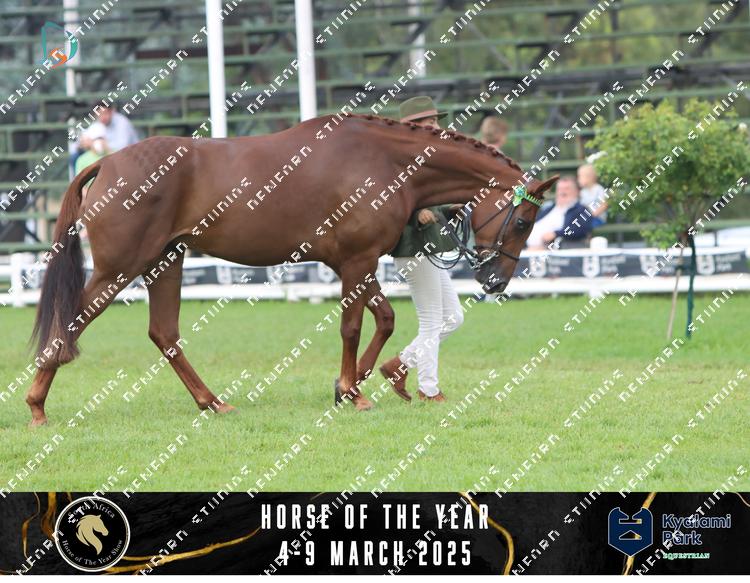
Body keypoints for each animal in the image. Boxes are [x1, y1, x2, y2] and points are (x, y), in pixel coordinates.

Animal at [26, 113, 557, 425]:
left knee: (164, 334)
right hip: (120, 268)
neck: (382, 162)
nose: (496, 281)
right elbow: (352, 326)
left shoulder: (356, 263)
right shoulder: (357, 261)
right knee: (72, 320)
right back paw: (36, 405)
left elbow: (384, 320)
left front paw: (351, 386)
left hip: (166, 262)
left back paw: (211, 402)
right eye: (523, 220)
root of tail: (108, 163)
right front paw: (353, 391)